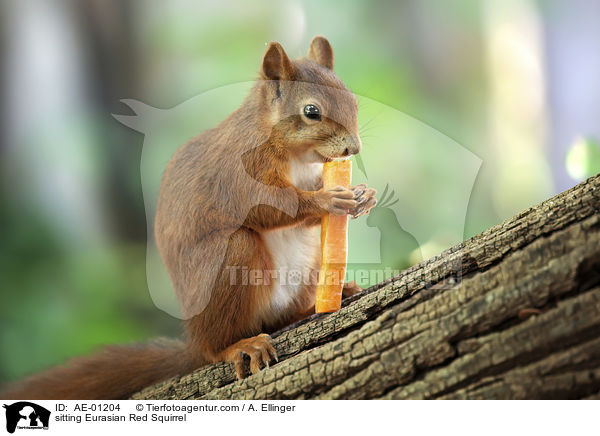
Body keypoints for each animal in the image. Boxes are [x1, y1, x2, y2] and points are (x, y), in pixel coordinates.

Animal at [1, 36, 376, 398]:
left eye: (354, 101)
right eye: (311, 111)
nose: (354, 148)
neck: (292, 153)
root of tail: (193, 342)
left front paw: (363, 196)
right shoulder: (239, 174)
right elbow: (270, 208)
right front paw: (327, 199)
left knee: (281, 317)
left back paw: (316, 304)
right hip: (230, 264)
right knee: (217, 343)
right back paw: (238, 345)